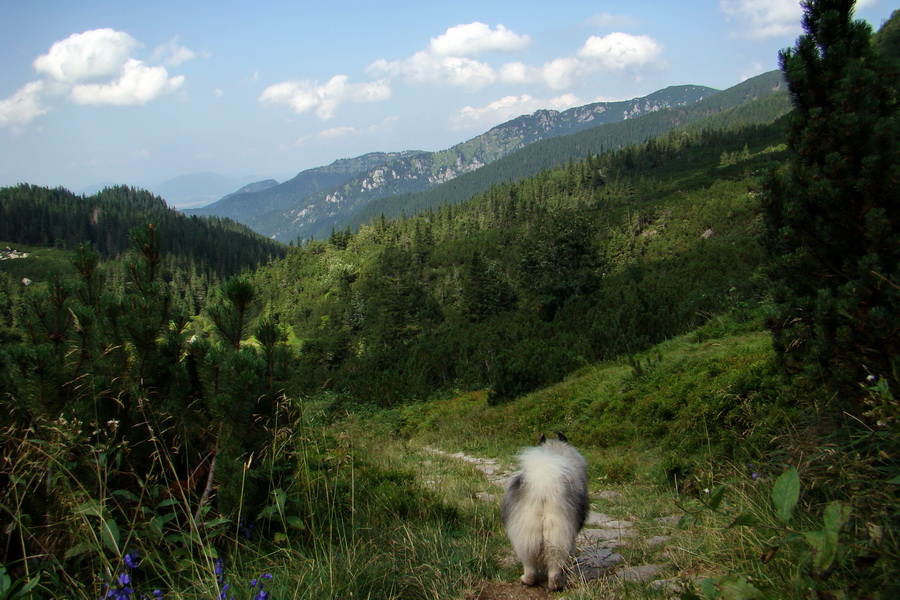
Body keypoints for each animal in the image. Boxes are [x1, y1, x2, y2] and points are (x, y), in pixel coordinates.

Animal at [500, 432, 592, 592]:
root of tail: (543, 483)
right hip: (558, 532)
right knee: (555, 563)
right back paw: (556, 584)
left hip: (526, 529)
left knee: (529, 561)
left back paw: (527, 580)